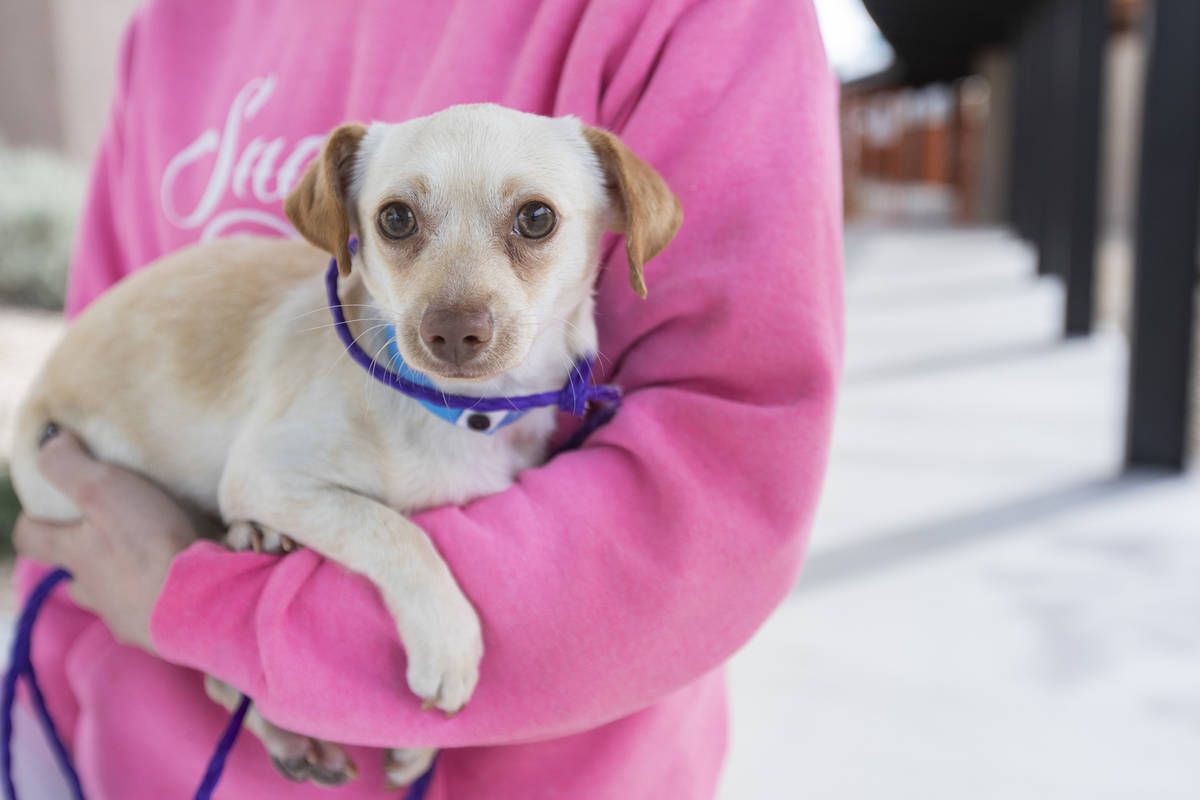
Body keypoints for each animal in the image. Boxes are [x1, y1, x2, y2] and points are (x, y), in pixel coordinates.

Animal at [7, 101, 686, 786]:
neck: (460, 414)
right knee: (218, 680)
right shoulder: (267, 475)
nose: (452, 331)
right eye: (396, 218)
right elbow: (393, 530)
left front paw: (420, 746)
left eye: (537, 218)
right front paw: (448, 639)